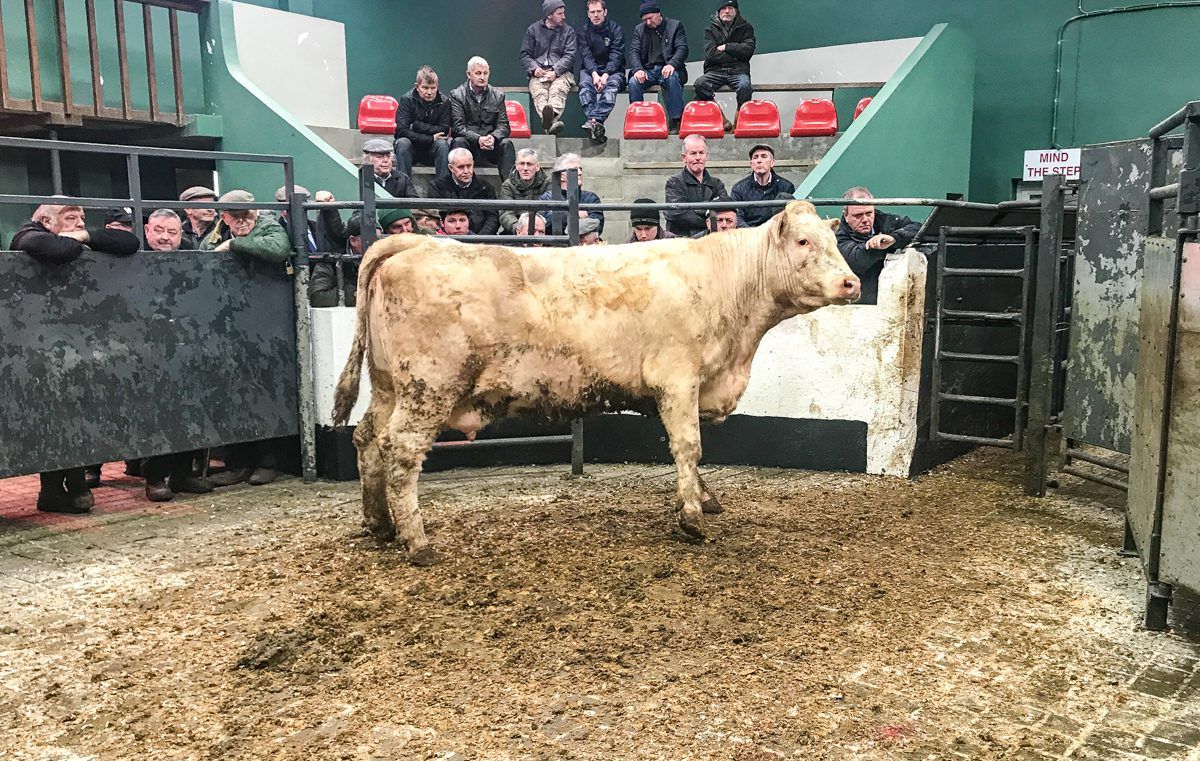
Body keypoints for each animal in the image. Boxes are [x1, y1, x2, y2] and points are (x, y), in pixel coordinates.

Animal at [333, 200, 860, 565]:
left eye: (833, 241)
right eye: (803, 243)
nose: (852, 283)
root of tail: (417, 244)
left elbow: (690, 450)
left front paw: (703, 499)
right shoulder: (678, 377)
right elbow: (688, 445)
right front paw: (691, 516)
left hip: (389, 385)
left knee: (367, 439)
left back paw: (379, 524)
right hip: (429, 386)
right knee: (400, 449)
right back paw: (417, 542)